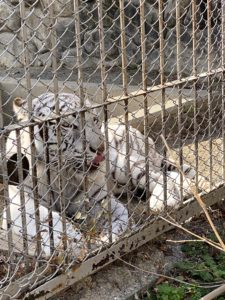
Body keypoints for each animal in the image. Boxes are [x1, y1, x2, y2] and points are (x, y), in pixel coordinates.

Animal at [2, 92, 198, 256]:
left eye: (95, 120)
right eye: (67, 125)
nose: (101, 148)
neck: (62, 174)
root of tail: (142, 135)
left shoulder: (98, 198)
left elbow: (120, 215)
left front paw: (112, 237)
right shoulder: (19, 201)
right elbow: (47, 218)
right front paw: (71, 245)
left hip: (126, 165)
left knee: (164, 177)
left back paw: (164, 201)